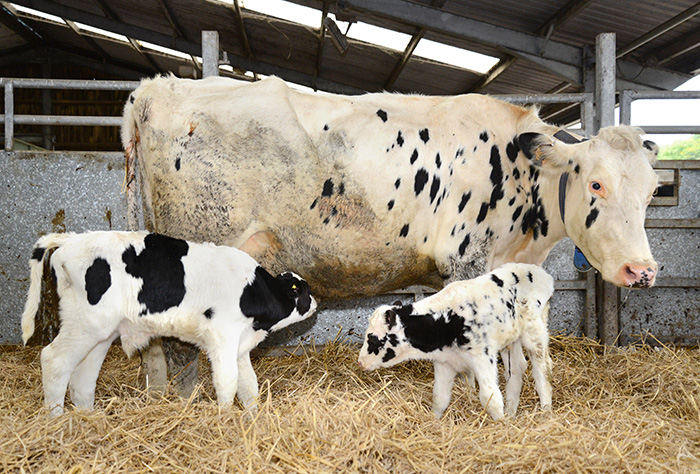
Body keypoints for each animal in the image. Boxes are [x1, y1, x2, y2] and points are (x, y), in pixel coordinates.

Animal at [21, 231, 318, 414]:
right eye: (302, 290)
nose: (316, 303)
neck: (252, 290)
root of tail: (71, 240)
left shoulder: (240, 344)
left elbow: (248, 385)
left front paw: (251, 418)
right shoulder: (222, 336)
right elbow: (227, 381)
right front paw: (224, 418)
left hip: (98, 333)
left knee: (83, 376)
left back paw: (89, 417)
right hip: (86, 325)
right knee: (54, 359)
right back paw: (57, 419)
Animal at [121, 75, 660, 388]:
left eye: (654, 189)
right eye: (596, 183)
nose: (642, 271)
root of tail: (156, 87)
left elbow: (514, 354)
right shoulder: (465, 261)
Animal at [358, 262, 556, 422]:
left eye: (373, 338)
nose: (360, 362)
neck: (446, 320)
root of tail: (539, 272)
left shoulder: (483, 357)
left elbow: (490, 397)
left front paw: (501, 424)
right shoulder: (445, 362)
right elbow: (440, 397)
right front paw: (434, 421)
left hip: (534, 332)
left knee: (542, 369)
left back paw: (545, 411)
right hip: (511, 340)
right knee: (517, 369)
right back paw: (512, 411)